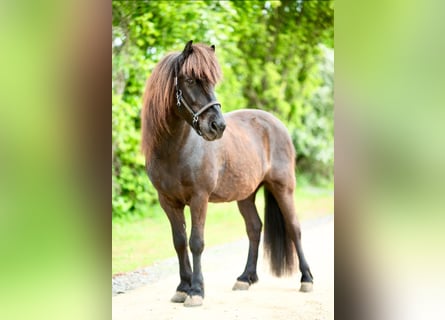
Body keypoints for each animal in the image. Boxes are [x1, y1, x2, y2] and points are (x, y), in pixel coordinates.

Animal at [141, 40, 312, 308]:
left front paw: (196, 291)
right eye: (190, 80)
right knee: (254, 228)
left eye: (212, 81)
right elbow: (179, 242)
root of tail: (276, 123)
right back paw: (245, 278)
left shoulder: (199, 198)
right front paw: (182, 288)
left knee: (294, 228)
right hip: (246, 195)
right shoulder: (168, 202)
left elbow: (196, 242)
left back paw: (306, 279)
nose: (218, 126)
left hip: (283, 187)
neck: (176, 150)